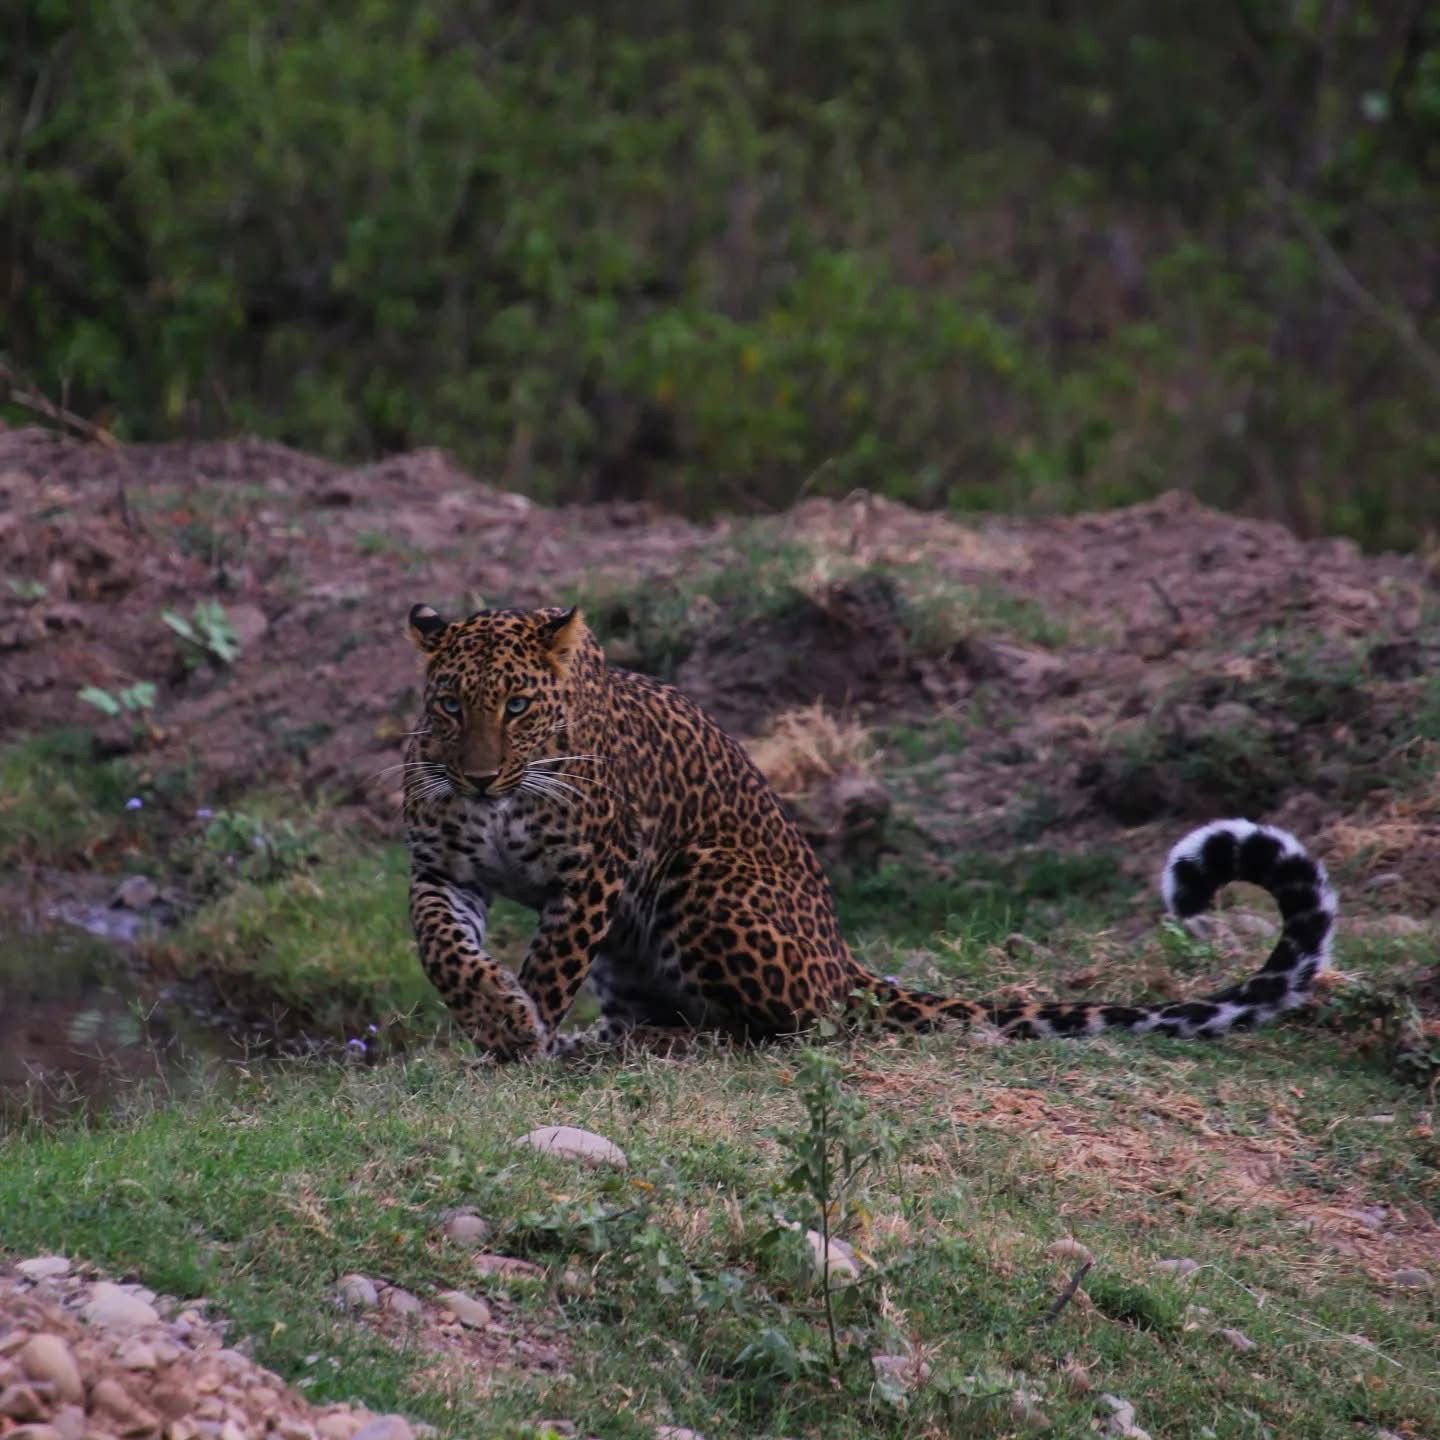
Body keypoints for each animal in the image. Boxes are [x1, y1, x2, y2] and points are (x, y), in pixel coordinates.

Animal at [401, 602, 1337, 1062]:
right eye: (448, 704)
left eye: (518, 706)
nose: (478, 777)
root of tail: (844, 957)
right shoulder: (442, 870)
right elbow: (444, 950)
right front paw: (498, 1019)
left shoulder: (594, 869)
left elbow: (551, 965)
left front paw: (520, 1036)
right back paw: (613, 1039)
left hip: (704, 875)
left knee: (788, 1026)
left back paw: (635, 1044)